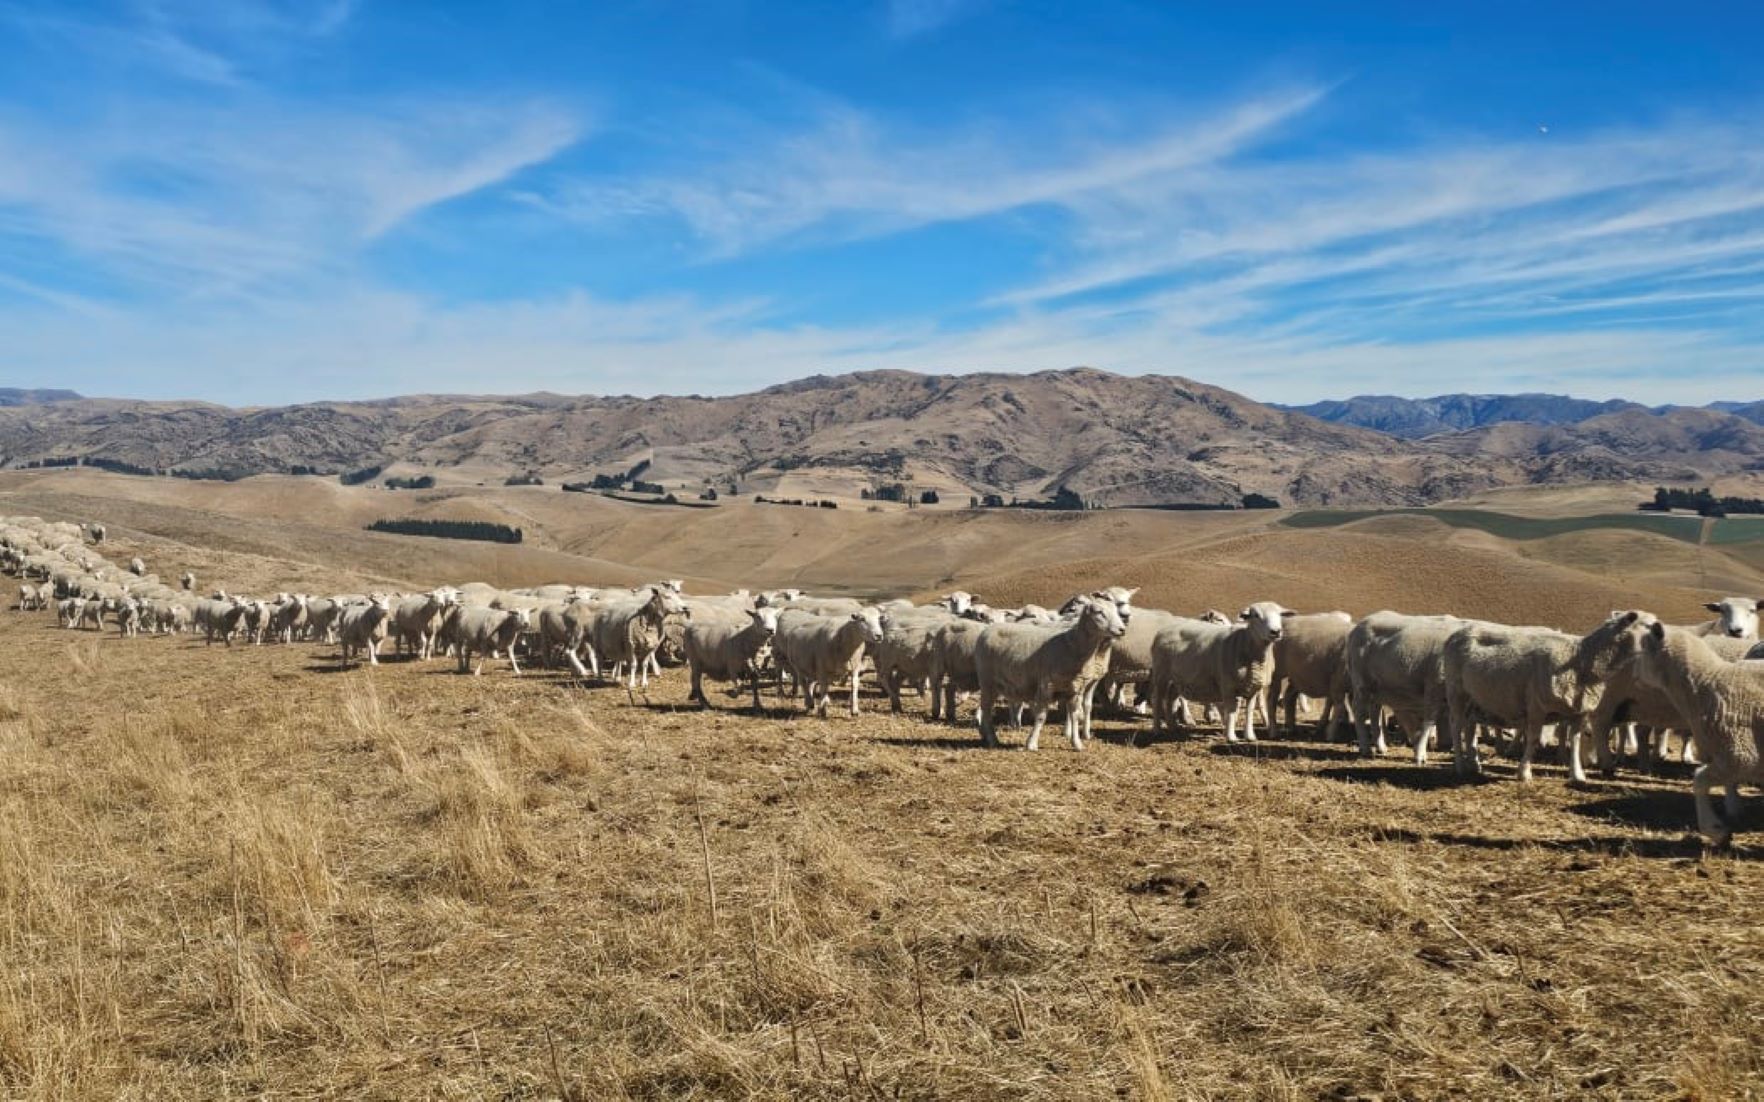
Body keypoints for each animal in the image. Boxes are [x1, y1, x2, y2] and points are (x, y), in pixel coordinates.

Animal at [973, 592, 1121, 747]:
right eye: (1099, 612)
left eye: (1117, 611)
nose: (1122, 629)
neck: (1071, 645)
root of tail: (988, 629)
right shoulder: (1047, 686)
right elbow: (1041, 716)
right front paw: (1032, 743)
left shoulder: (1075, 689)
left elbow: (1074, 715)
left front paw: (1077, 743)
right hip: (987, 681)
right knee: (986, 710)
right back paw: (992, 739)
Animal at [1143, 603, 1298, 740]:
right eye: (1255, 615)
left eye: (1280, 615)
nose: (1276, 632)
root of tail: (1164, 630)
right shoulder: (1228, 686)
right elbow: (1230, 711)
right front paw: (1230, 737)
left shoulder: (1252, 688)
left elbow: (1249, 711)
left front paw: (1250, 736)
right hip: (1161, 675)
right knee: (1157, 699)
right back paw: (1157, 730)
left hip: (1177, 679)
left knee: (1170, 699)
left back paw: (1172, 727)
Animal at [1453, 610, 1644, 782]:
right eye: (1649, 628)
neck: (1580, 659)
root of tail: (1458, 633)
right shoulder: (1537, 706)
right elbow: (1533, 739)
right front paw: (1524, 772)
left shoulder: (1578, 711)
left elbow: (1574, 741)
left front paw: (1577, 774)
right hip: (1456, 691)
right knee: (1456, 728)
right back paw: (1460, 765)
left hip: (1474, 698)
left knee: (1469, 728)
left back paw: (1474, 764)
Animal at [1615, 613, 1764, 846]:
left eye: (1642, 651)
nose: (1630, 675)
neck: (1707, 681)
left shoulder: (1742, 755)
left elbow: (1699, 780)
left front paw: (1715, 829)